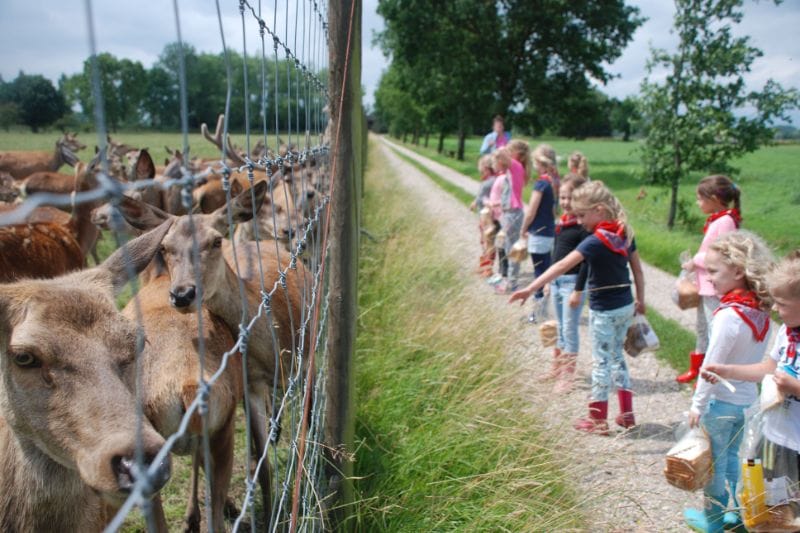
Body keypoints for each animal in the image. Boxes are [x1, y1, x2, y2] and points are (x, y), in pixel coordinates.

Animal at [119, 182, 310, 528]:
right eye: (165, 247)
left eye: (216, 240)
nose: (182, 294)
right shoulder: (251, 384)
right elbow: (265, 464)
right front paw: (271, 515)